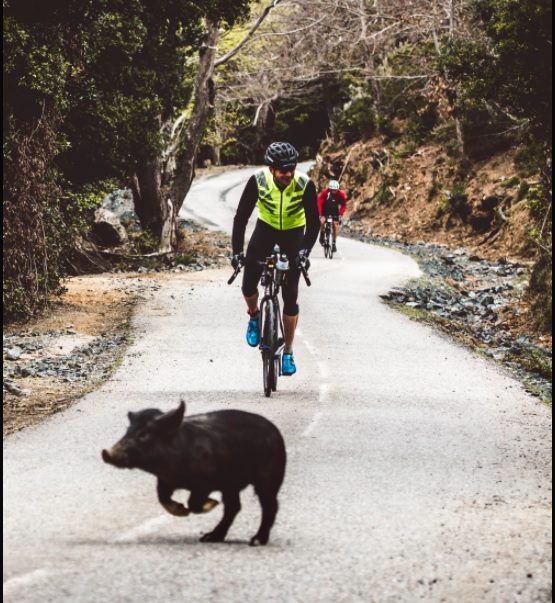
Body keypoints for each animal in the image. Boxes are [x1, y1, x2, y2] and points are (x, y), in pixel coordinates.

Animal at [102, 402, 286, 548]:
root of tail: (276, 432)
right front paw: (183, 510)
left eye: (144, 434)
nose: (106, 452)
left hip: (269, 477)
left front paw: (211, 504)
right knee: (234, 507)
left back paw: (255, 541)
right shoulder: (164, 481)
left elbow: (193, 502)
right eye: (127, 431)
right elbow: (162, 498)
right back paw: (209, 537)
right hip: (231, 485)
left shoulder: (205, 480)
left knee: (270, 506)